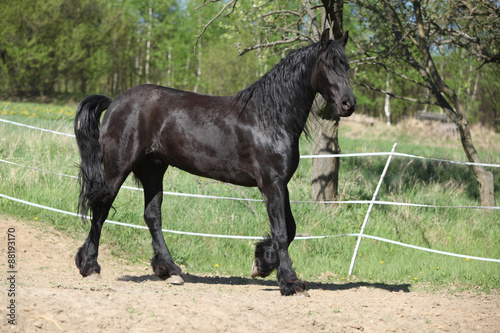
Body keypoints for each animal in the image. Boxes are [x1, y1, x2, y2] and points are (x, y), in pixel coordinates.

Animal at [73, 29, 356, 296]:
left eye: (347, 65)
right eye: (328, 64)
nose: (348, 104)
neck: (269, 119)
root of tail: (115, 102)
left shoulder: (280, 183)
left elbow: (291, 227)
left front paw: (262, 263)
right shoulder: (271, 183)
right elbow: (282, 232)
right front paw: (290, 283)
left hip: (153, 170)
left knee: (152, 216)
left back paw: (170, 271)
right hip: (116, 169)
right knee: (101, 209)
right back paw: (90, 266)